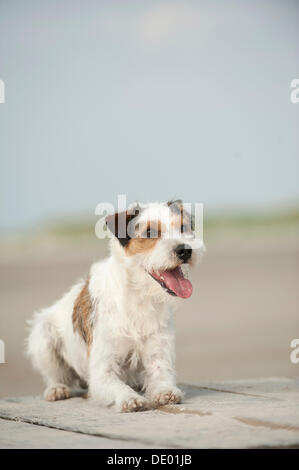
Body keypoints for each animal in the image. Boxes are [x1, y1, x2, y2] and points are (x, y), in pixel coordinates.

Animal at [27, 200, 204, 414]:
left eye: (183, 228)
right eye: (150, 232)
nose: (185, 250)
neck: (138, 296)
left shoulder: (158, 355)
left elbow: (162, 375)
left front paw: (165, 391)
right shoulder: (103, 370)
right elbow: (117, 385)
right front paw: (129, 398)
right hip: (43, 336)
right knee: (55, 375)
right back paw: (57, 389)